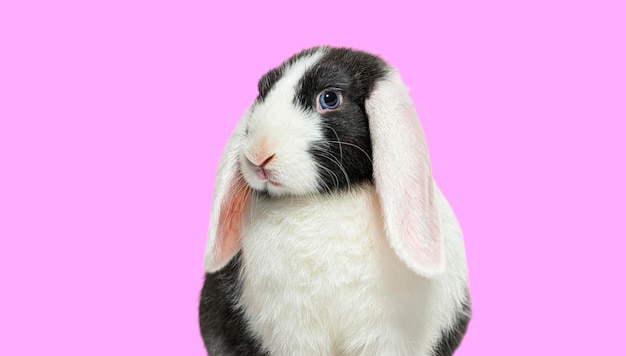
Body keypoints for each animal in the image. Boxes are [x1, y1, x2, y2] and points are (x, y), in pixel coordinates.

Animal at [199, 47, 468, 356]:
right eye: (263, 91)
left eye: (329, 98)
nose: (259, 155)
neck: (325, 199)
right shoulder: (293, 333)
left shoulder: (386, 336)